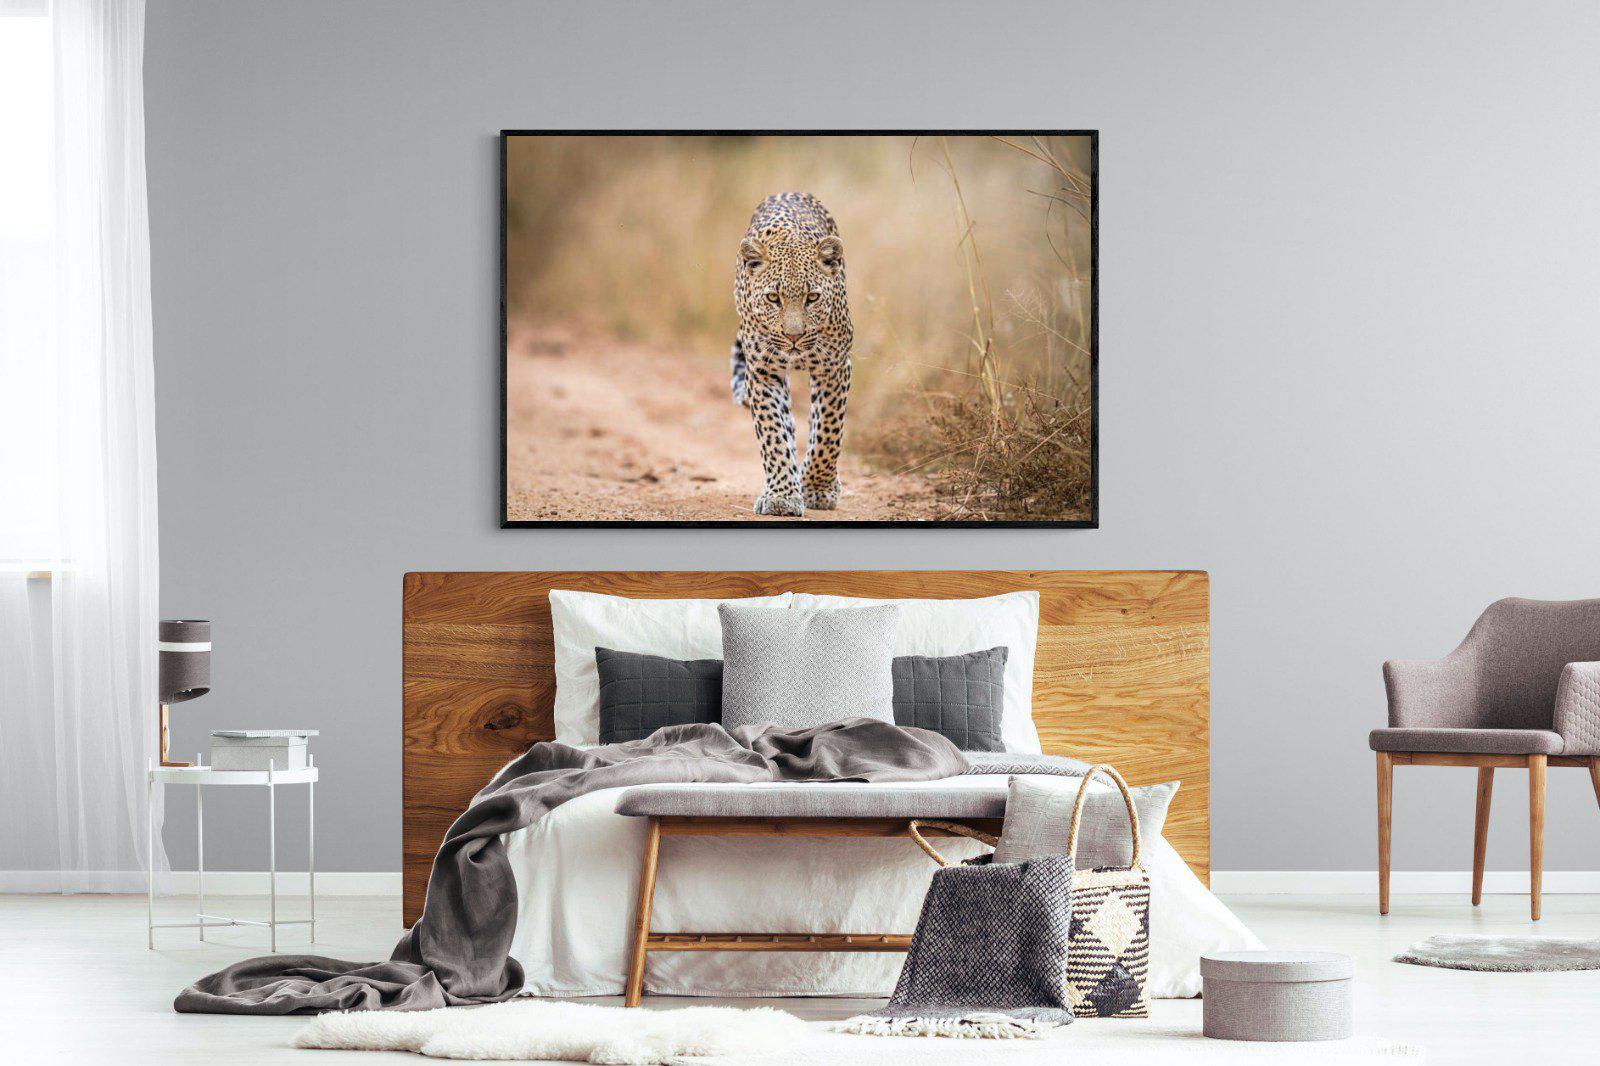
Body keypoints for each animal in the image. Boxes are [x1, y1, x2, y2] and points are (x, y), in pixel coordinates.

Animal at [730, 192, 854, 517]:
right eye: (774, 298)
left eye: (813, 297)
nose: (793, 336)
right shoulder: (763, 372)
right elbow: (773, 433)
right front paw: (782, 496)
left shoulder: (834, 367)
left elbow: (828, 431)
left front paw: (818, 488)